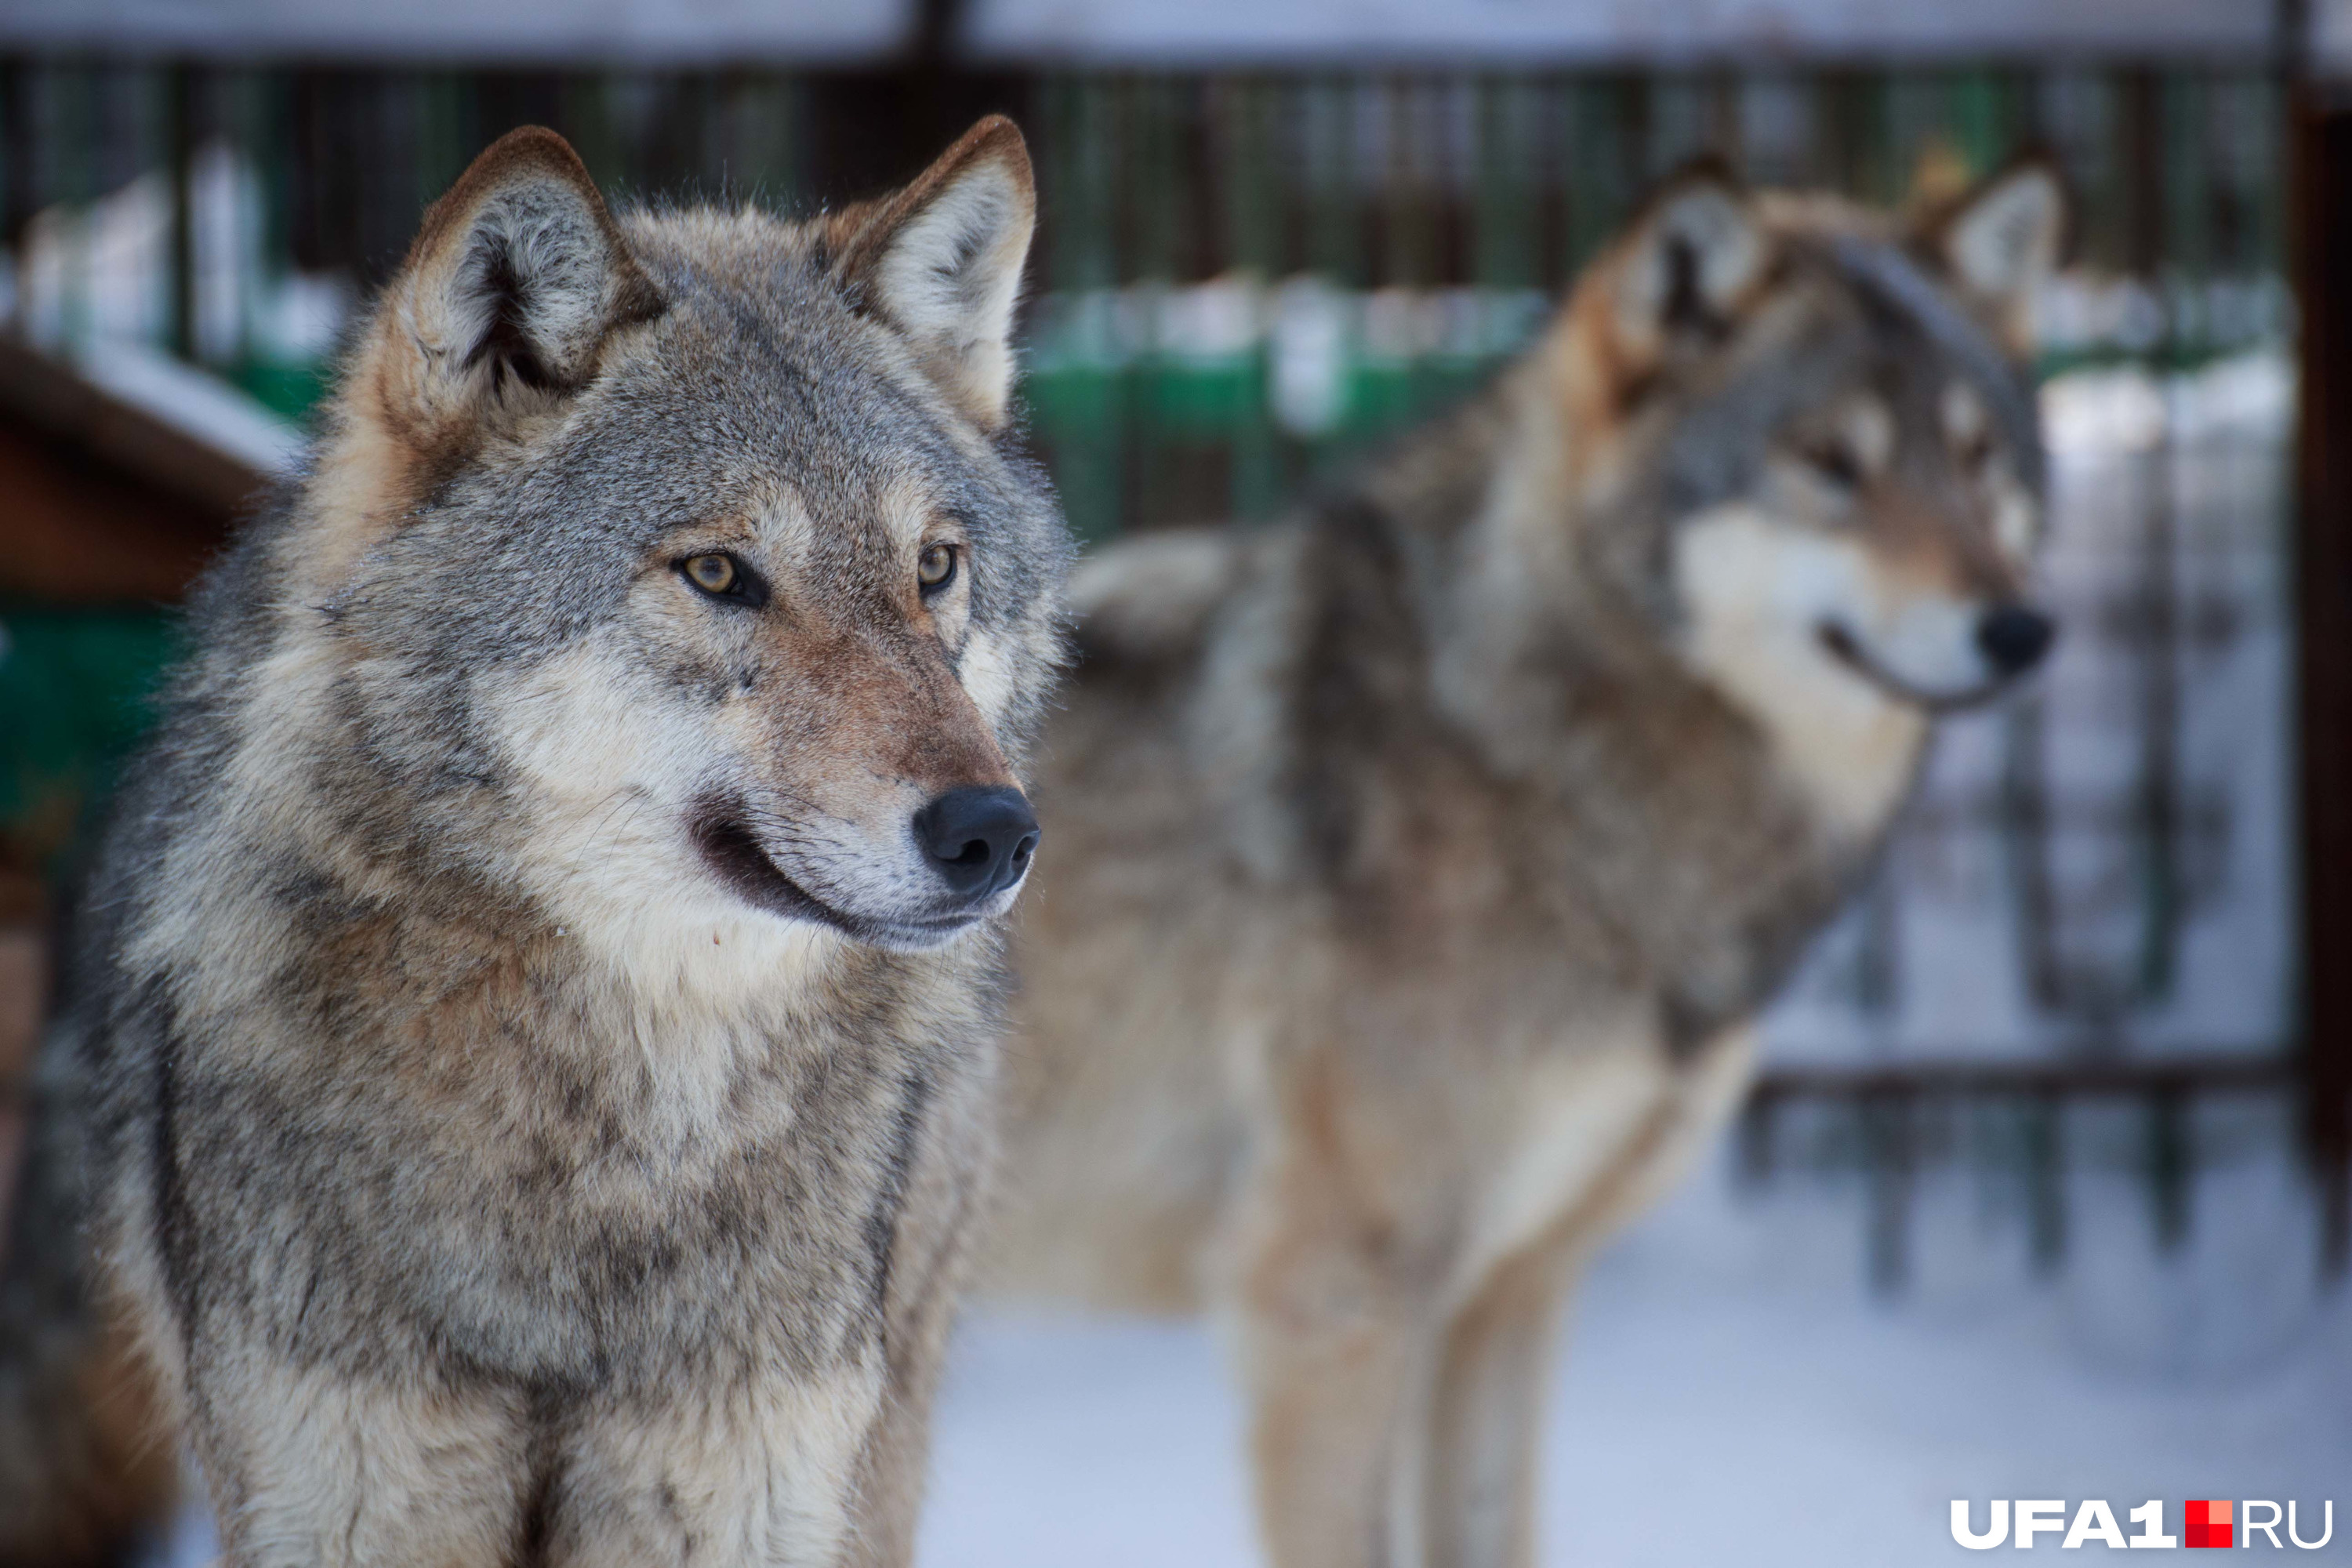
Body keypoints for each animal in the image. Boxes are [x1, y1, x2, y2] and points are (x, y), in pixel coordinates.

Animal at [0, 113, 1068, 1568]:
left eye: (934, 570)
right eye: (720, 574)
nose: (994, 832)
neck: (612, 1157)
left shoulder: (739, 1490)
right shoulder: (347, 1496)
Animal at [988, 162, 2060, 1568]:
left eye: (1980, 461)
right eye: (1829, 463)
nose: (2023, 629)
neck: (1522, 739)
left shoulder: (1506, 1295)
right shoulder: (1333, 1300)